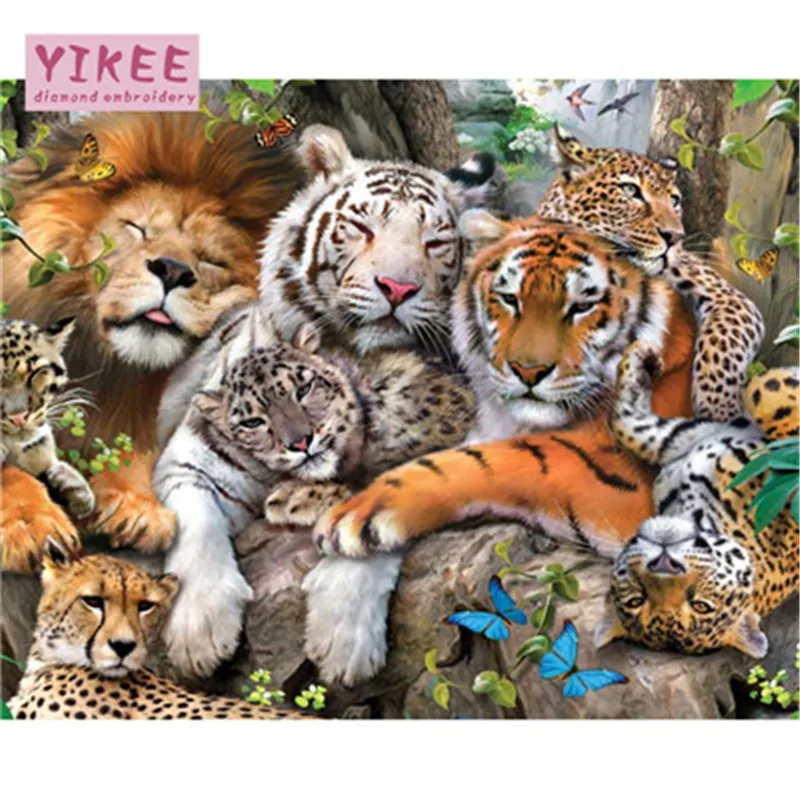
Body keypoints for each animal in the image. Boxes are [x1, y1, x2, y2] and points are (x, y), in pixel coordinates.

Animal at [1, 111, 304, 575]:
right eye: (137, 228)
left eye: (212, 259)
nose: (173, 269)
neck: (109, 366)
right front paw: (29, 523)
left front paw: (136, 504)